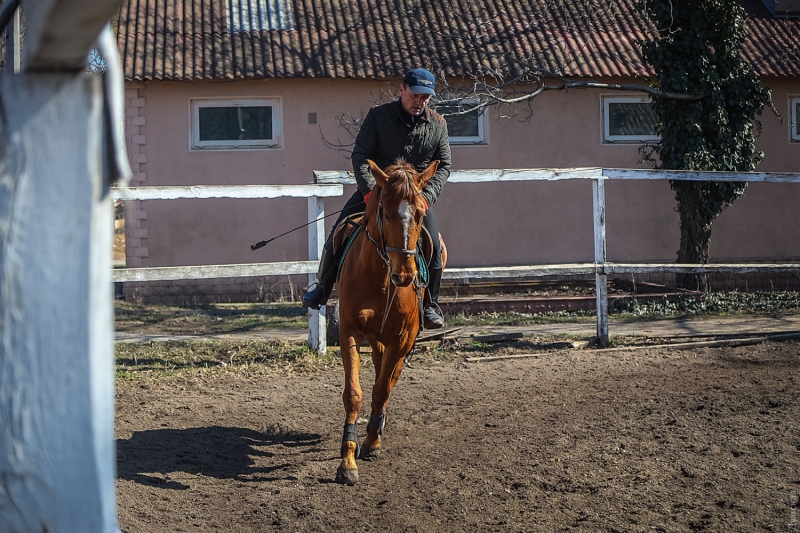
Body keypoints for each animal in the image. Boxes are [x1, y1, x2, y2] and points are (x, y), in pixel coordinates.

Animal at [332, 157, 444, 482]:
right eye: (384, 212)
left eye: (420, 214)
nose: (405, 275)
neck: (380, 278)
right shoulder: (350, 331)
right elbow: (354, 393)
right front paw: (348, 460)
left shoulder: (402, 338)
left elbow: (382, 389)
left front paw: (371, 441)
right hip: (375, 337)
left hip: (402, 341)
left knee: (389, 379)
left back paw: (378, 428)